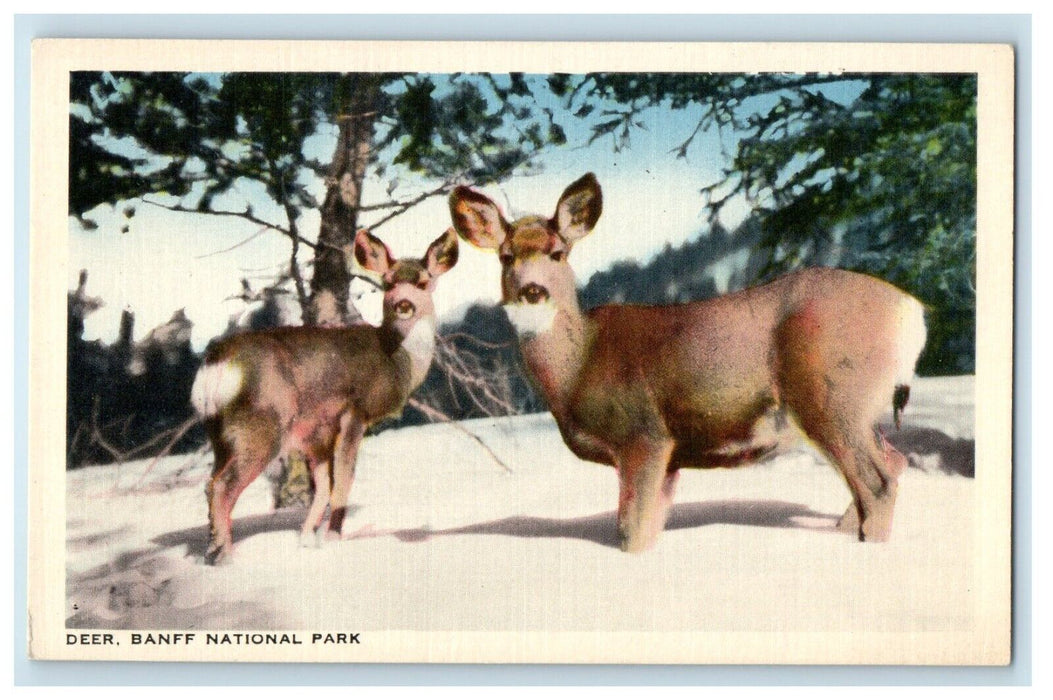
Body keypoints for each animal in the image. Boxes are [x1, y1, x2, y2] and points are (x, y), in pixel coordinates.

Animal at [188, 228, 457, 564]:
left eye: (423, 281)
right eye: (388, 281)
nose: (404, 304)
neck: (398, 360)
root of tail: (215, 363)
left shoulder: (315, 433)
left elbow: (324, 486)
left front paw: (306, 540)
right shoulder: (355, 409)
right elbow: (343, 479)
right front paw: (332, 537)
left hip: (219, 433)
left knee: (210, 482)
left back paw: (211, 550)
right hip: (259, 426)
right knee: (223, 486)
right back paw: (224, 556)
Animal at [448, 173, 926, 551]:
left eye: (558, 252)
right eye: (506, 257)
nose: (532, 292)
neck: (578, 368)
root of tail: (912, 313)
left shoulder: (644, 433)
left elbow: (632, 533)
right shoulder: (669, 457)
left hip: (831, 396)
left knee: (878, 483)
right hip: (858, 409)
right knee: (894, 463)